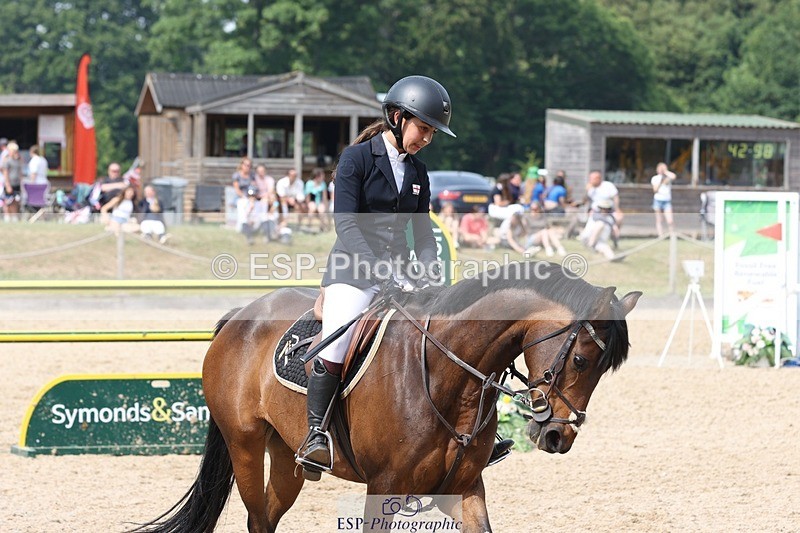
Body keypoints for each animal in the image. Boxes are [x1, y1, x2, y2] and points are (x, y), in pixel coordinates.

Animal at [132, 261, 641, 533]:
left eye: (602, 369)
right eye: (581, 361)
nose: (558, 436)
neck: (446, 378)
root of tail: (242, 314)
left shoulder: (464, 487)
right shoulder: (384, 487)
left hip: (285, 456)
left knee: (270, 515)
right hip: (244, 446)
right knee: (257, 517)